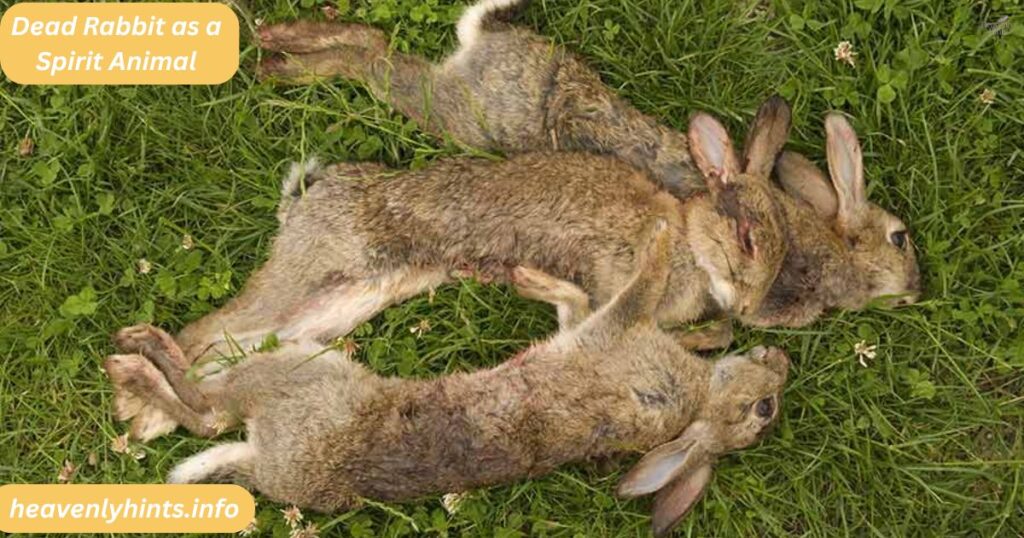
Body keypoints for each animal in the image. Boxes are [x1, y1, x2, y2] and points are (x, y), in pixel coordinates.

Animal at [103, 222, 791, 537]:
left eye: (763, 412)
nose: (780, 365)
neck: (698, 396)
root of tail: (270, 466)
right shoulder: (591, 328)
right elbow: (575, 302)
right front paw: (528, 278)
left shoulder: (617, 336)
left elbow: (639, 286)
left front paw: (664, 236)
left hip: (300, 374)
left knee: (206, 411)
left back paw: (134, 353)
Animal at [111, 102, 790, 442]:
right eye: (749, 239)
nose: (749, 307)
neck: (689, 240)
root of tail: (305, 199)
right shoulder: (610, 279)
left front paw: (712, 334)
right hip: (307, 274)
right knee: (207, 331)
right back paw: (135, 402)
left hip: (339, 303)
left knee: (234, 349)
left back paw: (148, 411)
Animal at [254, 1, 921, 335]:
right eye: (901, 238)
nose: (918, 290)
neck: (832, 241)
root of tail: (496, 35)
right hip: (457, 113)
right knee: (371, 58)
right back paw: (278, 57)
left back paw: (276, 45)